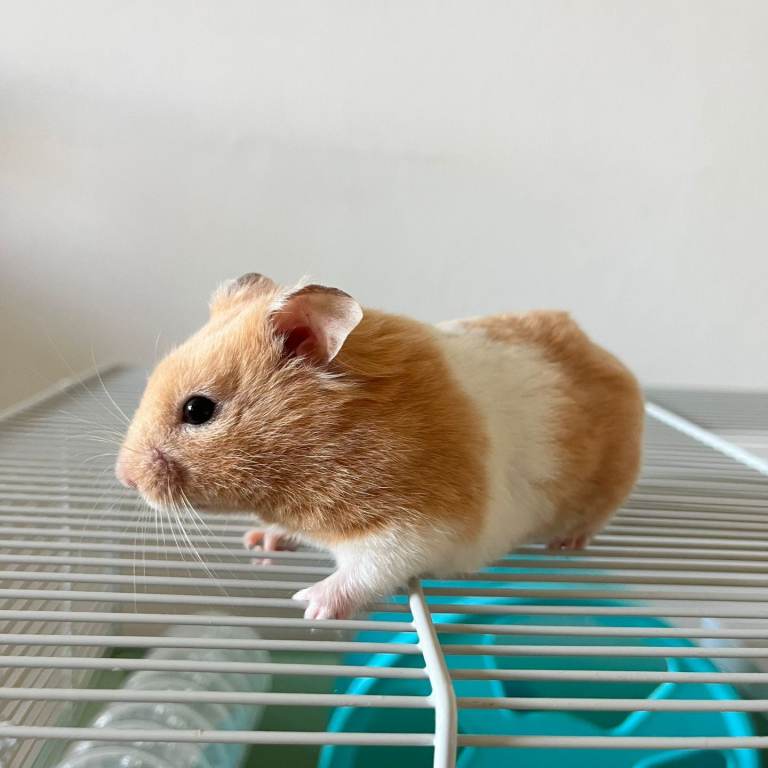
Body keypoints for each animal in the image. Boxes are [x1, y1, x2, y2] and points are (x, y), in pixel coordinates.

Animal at [116, 273, 644, 620]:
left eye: (198, 410)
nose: (124, 477)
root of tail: (605, 353)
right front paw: (259, 539)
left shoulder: (417, 527)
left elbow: (366, 572)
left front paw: (308, 604)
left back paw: (567, 543)